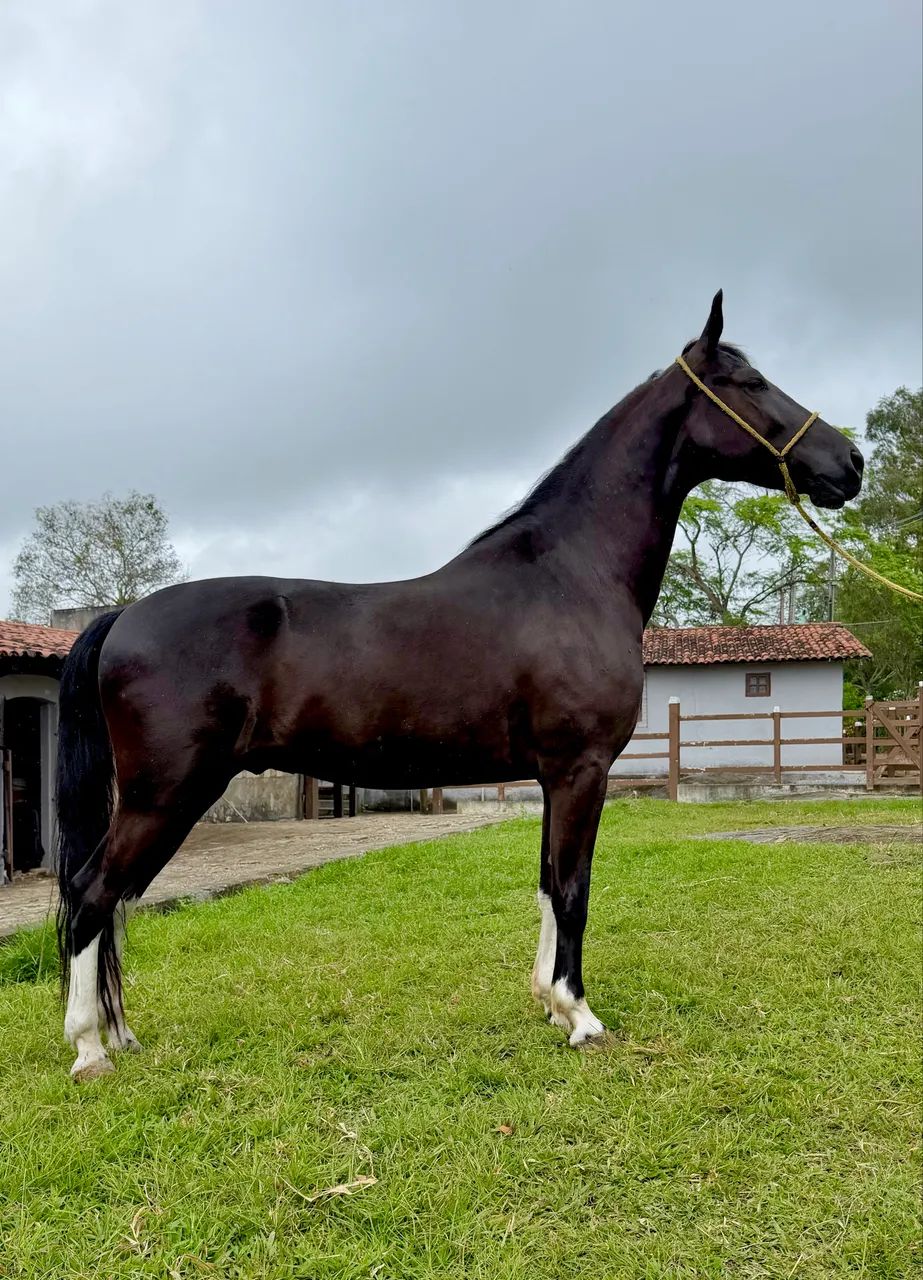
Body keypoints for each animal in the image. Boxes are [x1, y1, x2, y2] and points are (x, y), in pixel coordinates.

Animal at [56, 291, 863, 1080]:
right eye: (748, 381)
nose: (850, 462)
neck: (570, 573)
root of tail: (123, 615)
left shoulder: (553, 777)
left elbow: (546, 885)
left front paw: (549, 1004)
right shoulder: (581, 770)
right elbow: (573, 890)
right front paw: (581, 1018)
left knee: (115, 902)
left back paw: (121, 1035)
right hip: (166, 793)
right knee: (94, 894)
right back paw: (90, 1048)